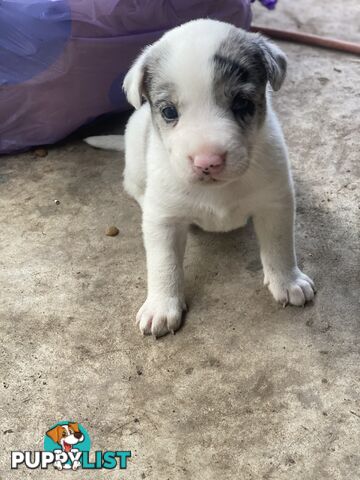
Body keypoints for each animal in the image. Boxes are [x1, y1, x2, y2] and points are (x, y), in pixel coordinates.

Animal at [85, 19, 316, 338]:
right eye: (169, 111)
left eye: (242, 103)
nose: (208, 162)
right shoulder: (164, 221)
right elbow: (164, 263)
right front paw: (161, 305)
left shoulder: (275, 203)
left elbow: (279, 246)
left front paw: (288, 280)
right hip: (135, 161)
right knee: (133, 186)